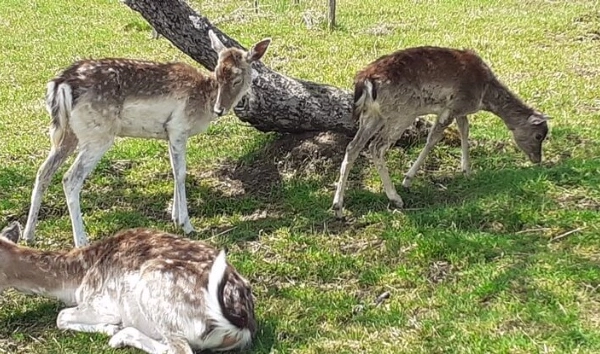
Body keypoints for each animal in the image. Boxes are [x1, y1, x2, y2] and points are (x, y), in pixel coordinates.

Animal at [0, 221, 255, 354]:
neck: (76, 278)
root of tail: (242, 323)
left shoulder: (98, 301)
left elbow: (60, 316)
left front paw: (109, 328)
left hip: (154, 290)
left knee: (178, 349)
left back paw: (119, 336)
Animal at [22, 29, 272, 246]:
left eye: (236, 78)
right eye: (218, 73)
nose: (220, 109)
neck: (203, 102)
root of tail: (61, 84)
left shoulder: (169, 133)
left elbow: (174, 170)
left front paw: (174, 217)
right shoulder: (179, 127)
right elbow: (181, 173)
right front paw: (186, 224)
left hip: (68, 134)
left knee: (43, 172)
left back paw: (28, 234)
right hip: (98, 134)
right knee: (70, 179)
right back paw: (81, 241)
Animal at [330, 45, 552, 217]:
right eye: (539, 135)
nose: (537, 159)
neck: (484, 95)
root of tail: (365, 79)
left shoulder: (461, 109)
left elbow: (465, 130)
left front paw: (466, 170)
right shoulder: (453, 106)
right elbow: (433, 138)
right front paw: (408, 179)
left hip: (371, 115)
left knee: (353, 147)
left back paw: (338, 206)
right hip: (401, 112)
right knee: (376, 146)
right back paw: (395, 198)